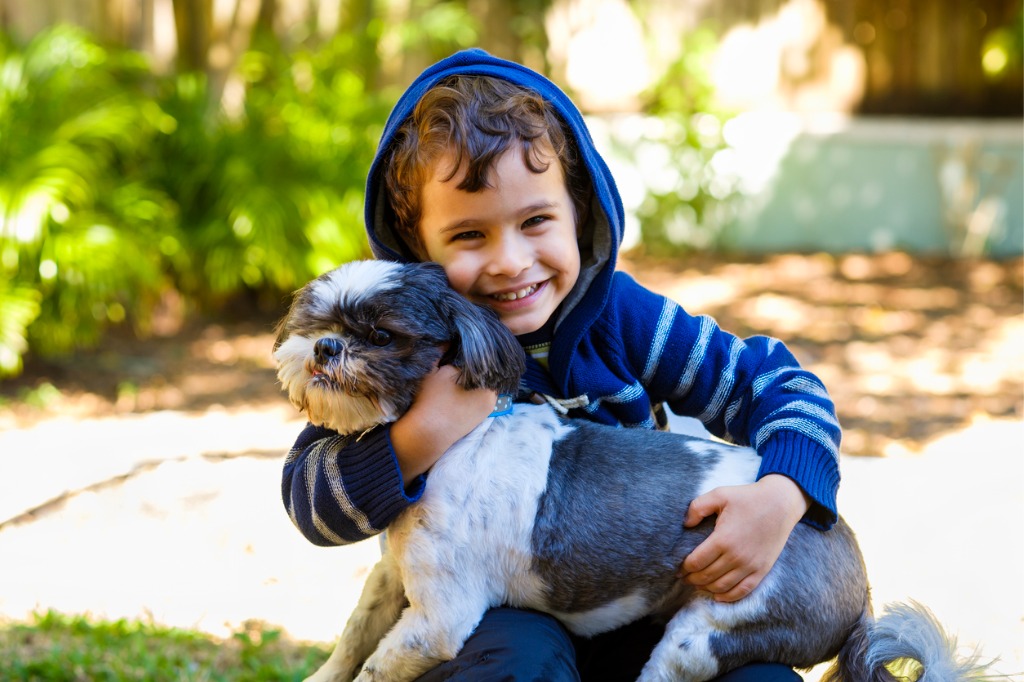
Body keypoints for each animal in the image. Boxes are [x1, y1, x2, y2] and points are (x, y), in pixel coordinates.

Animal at [272, 258, 983, 675]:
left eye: (382, 335)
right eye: (316, 318)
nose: (325, 346)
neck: (455, 441)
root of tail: (860, 582)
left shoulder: (438, 621)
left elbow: (376, 665)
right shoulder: (393, 578)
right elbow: (351, 642)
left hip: (710, 634)